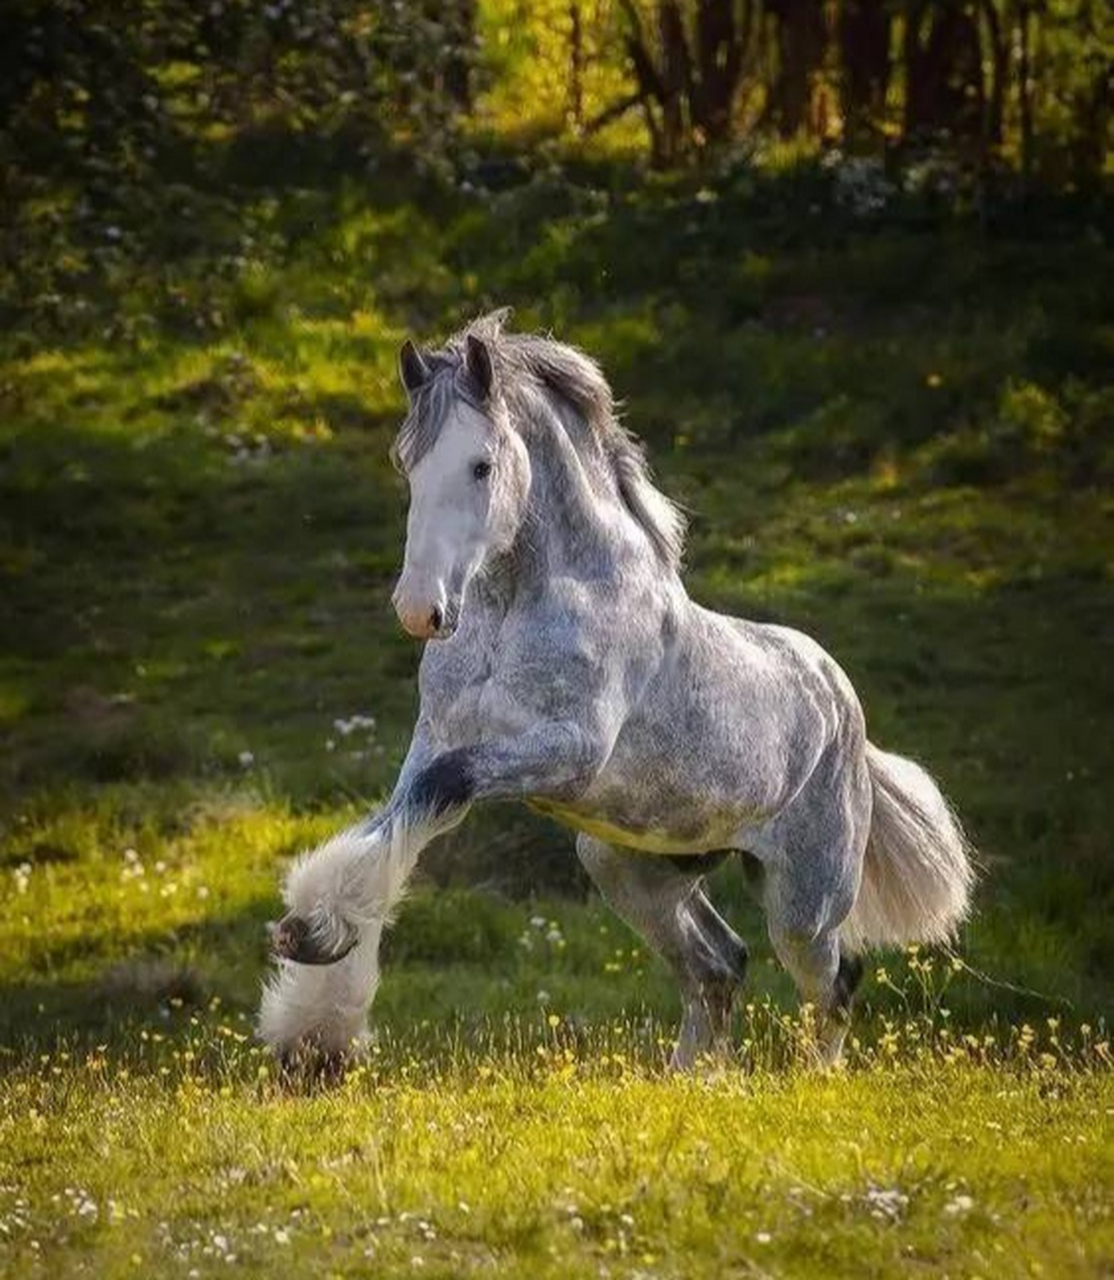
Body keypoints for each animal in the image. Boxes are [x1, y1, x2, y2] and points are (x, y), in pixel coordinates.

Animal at [257, 309, 973, 1070]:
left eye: (482, 464)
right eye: (406, 463)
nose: (420, 609)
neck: (521, 606)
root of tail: (845, 711)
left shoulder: (568, 752)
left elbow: (439, 794)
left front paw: (315, 954)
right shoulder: (437, 739)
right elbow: (400, 819)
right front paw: (312, 995)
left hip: (805, 902)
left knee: (833, 982)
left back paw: (811, 1084)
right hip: (630, 868)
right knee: (720, 966)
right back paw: (689, 1080)